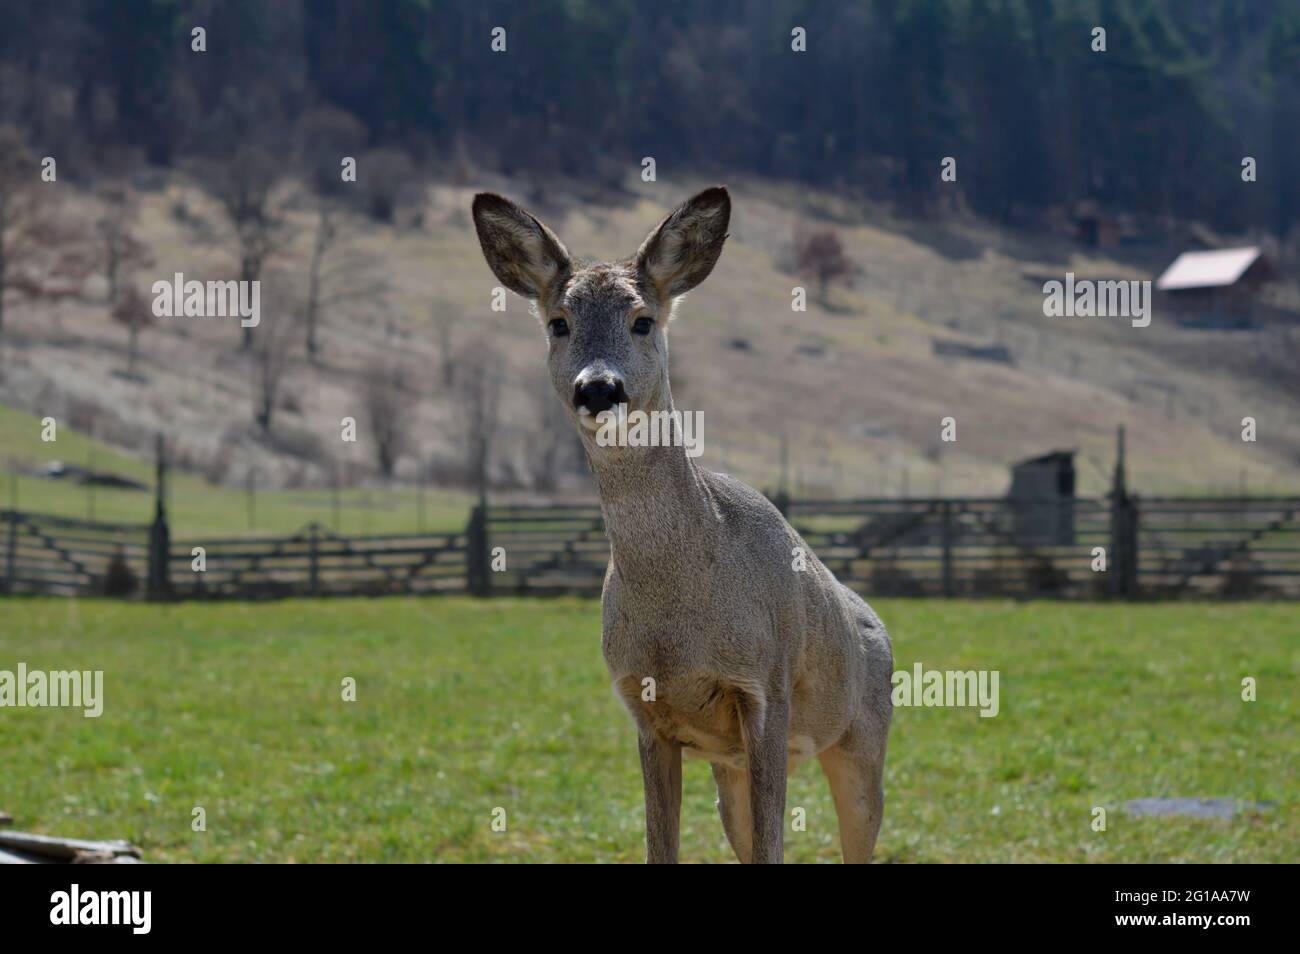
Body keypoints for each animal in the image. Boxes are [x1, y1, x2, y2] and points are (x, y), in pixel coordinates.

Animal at [471, 186, 893, 864]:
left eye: (643, 319)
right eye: (559, 322)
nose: (599, 388)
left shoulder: (767, 688)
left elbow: (774, 847)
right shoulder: (647, 712)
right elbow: (660, 846)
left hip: (863, 741)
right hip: (730, 768)